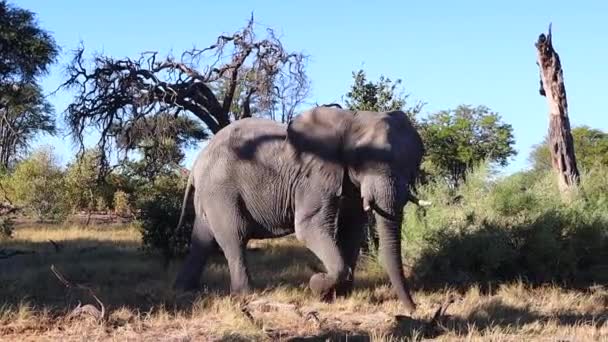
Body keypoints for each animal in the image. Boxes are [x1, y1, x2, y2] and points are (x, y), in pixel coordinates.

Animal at [173, 105, 426, 314]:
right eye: (365, 160)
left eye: (413, 163)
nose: (414, 309)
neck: (352, 120)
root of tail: (197, 161)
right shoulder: (314, 176)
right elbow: (308, 227)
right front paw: (317, 285)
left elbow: (352, 230)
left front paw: (340, 294)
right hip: (221, 190)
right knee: (234, 236)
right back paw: (246, 295)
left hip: (210, 193)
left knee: (202, 240)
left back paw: (184, 289)